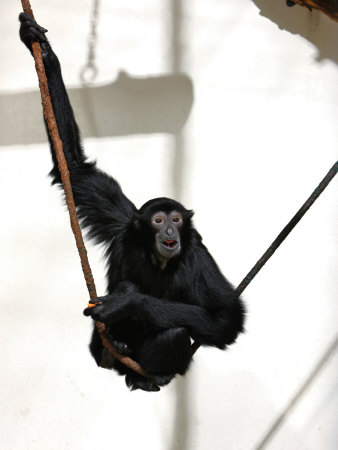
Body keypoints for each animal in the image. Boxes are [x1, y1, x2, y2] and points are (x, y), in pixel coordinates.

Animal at [19, 12, 244, 392]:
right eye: (158, 220)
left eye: (176, 219)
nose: (169, 230)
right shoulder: (124, 224)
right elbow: (75, 168)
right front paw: (42, 49)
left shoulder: (196, 251)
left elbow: (226, 319)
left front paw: (127, 301)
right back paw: (115, 348)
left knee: (177, 333)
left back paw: (151, 374)